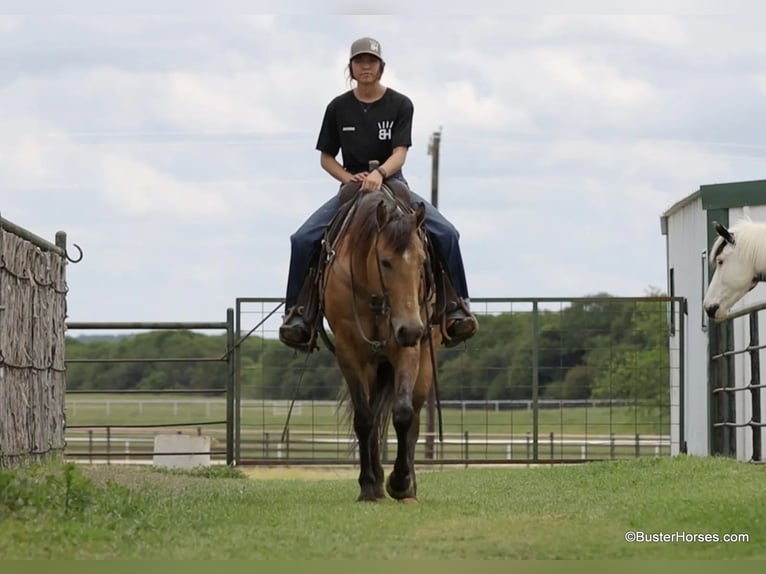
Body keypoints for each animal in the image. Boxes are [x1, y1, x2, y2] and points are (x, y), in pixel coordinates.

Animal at [320, 185, 440, 502]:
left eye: (422, 262)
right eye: (385, 261)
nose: (411, 328)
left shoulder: (407, 349)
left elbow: (403, 414)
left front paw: (399, 481)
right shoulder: (349, 353)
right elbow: (365, 419)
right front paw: (368, 485)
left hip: (423, 361)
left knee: (414, 414)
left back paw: (409, 486)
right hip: (373, 367)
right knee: (373, 416)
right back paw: (375, 481)